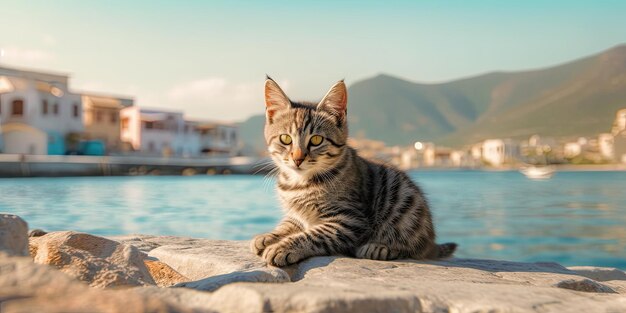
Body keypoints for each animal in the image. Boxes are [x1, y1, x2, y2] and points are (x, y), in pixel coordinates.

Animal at [251, 77, 456, 264]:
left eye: (316, 140)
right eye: (285, 139)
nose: (298, 158)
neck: (298, 183)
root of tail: (431, 240)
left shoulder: (349, 220)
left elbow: (313, 234)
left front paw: (283, 246)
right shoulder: (297, 215)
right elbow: (288, 223)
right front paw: (269, 236)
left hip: (404, 207)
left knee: (413, 248)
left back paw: (380, 248)